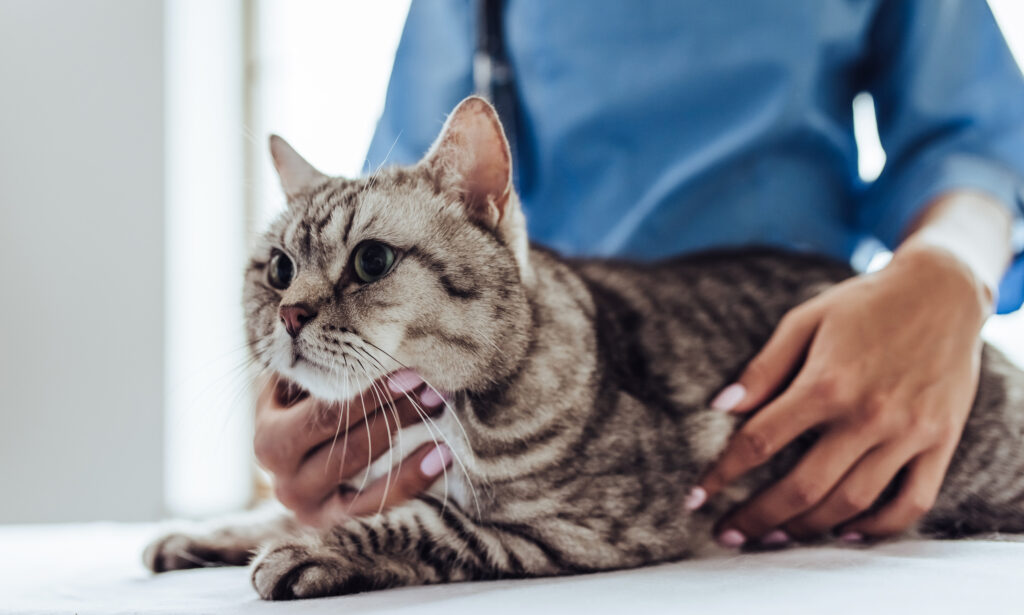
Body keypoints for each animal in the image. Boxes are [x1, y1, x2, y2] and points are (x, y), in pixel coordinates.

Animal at [142, 97, 1024, 597]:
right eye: (277, 269)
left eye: (371, 262)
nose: (289, 313)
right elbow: (291, 507)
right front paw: (212, 532)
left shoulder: (579, 525)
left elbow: (421, 523)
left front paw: (305, 550)